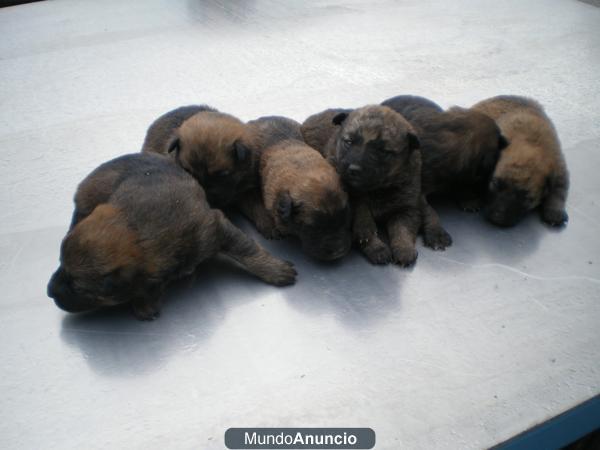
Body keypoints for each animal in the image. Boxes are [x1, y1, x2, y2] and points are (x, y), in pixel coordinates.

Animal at [47, 154, 298, 320]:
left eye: (77, 286)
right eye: (61, 266)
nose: (49, 291)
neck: (140, 233)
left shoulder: (215, 228)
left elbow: (247, 250)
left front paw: (275, 269)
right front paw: (145, 301)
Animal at [300, 105, 422, 268]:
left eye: (382, 151)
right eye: (348, 142)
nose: (353, 169)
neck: (377, 189)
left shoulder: (407, 208)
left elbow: (403, 229)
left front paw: (404, 250)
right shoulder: (351, 197)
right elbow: (362, 215)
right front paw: (376, 248)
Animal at [472, 95, 568, 229]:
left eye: (526, 197)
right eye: (495, 184)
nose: (498, 218)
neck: (530, 143)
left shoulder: (559, 167)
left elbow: (559, 192)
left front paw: (555, 212)